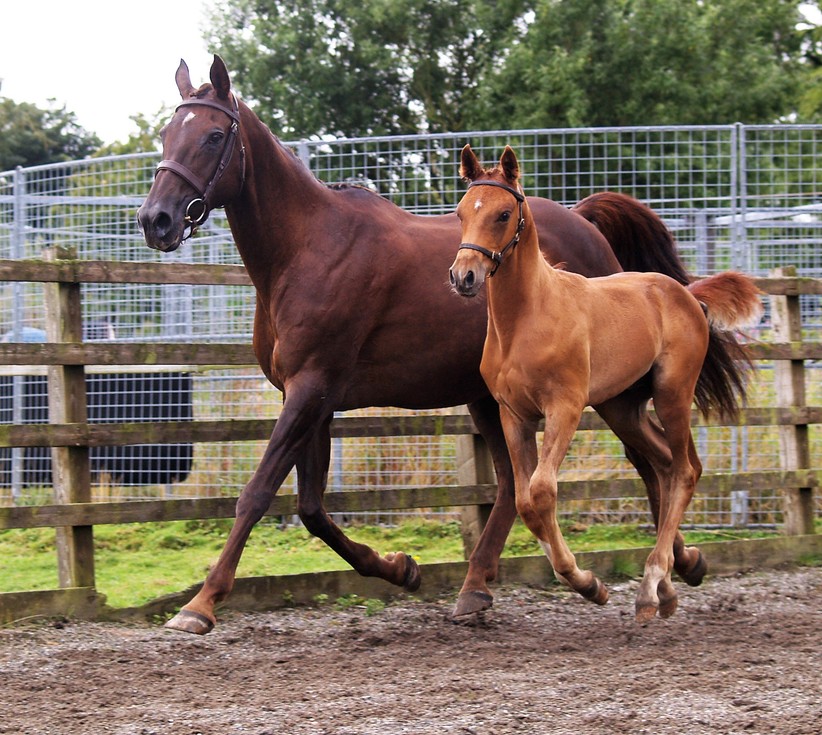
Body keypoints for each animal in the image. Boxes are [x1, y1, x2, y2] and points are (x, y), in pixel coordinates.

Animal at [139, 55, 720, 634]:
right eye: (168, 133)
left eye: (214, 135)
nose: (155, 219)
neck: (307, 249)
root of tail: (585, 222)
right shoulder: (309, 397)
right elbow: (311, 508)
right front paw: (401, 568)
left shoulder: (311, 389)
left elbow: (257, 493)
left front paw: (200, 604)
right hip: (497, 398)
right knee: (532, 482)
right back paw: (493, 586)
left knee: (647, 463)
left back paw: (666, 570)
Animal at [449, 145, 762, 621]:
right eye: (463, 211)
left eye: (504, 214)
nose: (463, 276)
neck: (525, 318)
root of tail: (687, 295)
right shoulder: (514, 414)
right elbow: (524, 501)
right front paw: (585, 581)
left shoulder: (565, 407)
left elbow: (542, 490)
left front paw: (587, 584)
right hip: (621, 408)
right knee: (664, 464)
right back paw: (668, 586)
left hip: (672, 393)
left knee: (685, 469)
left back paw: (651, 586)